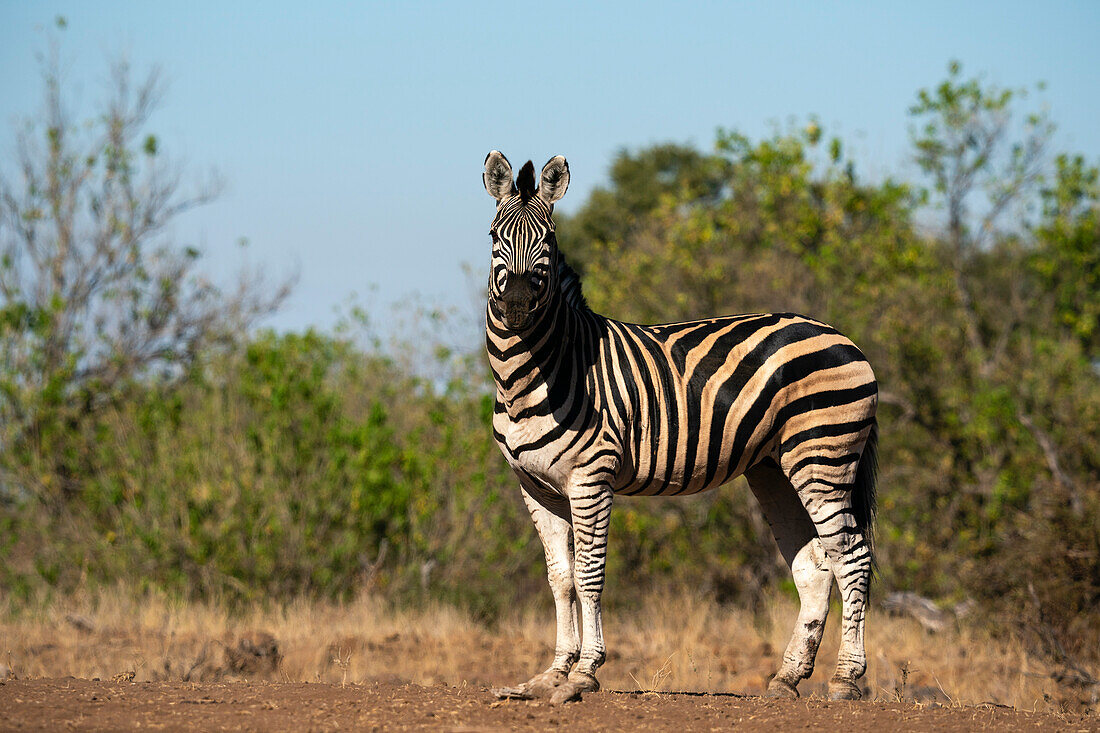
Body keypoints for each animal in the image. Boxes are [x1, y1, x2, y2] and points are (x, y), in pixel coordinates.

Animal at [486, 149, 880, 704]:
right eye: (494, 235)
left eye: (549, 240)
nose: (518, 306)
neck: (535, 374)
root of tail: (840, 335)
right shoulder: (535, 485)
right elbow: (560, 579)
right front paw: (550, 675)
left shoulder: (592, 477)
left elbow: (589, 574)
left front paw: (585, 673)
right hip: (774, 469)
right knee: (816, 568)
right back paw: (787, 678)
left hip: (823, 457)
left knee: (853, 559)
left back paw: (845, 679)